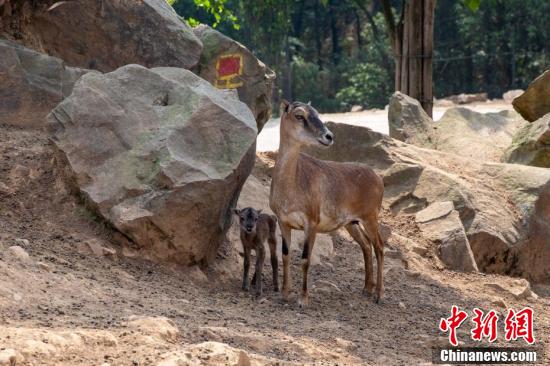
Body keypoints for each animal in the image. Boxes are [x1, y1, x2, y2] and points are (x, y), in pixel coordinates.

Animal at [270, 99, 386, 306]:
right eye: (299, 115)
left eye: (317, 113)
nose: (329, 136)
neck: (292, 185)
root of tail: (378, 179)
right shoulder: (283, 222)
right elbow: (285, 255)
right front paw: (284, 295)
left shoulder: (311, 224)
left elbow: (305, 259)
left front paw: (303, 299)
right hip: (351, 223)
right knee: (366, 245)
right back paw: (366, 289)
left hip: (370, 218)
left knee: (379, 247)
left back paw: (379, 295)